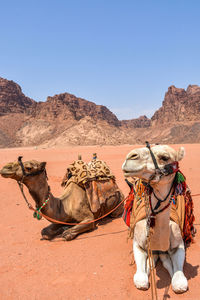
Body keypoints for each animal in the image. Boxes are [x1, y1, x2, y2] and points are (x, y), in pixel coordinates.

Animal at [122, 144, 189, 294]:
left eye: (164, 157)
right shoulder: (138, 242)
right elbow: (141, 279)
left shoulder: (179, 243)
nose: (130, 156)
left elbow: (179, 283)